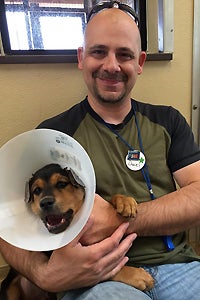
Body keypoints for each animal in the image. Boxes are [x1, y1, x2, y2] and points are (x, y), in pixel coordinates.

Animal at [0, 164, 154, 300]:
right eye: (37, 190)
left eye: (62, 184)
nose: (45, 202)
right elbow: (108, 267)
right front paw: (138, 276)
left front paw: (125, 202)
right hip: (10, 288)